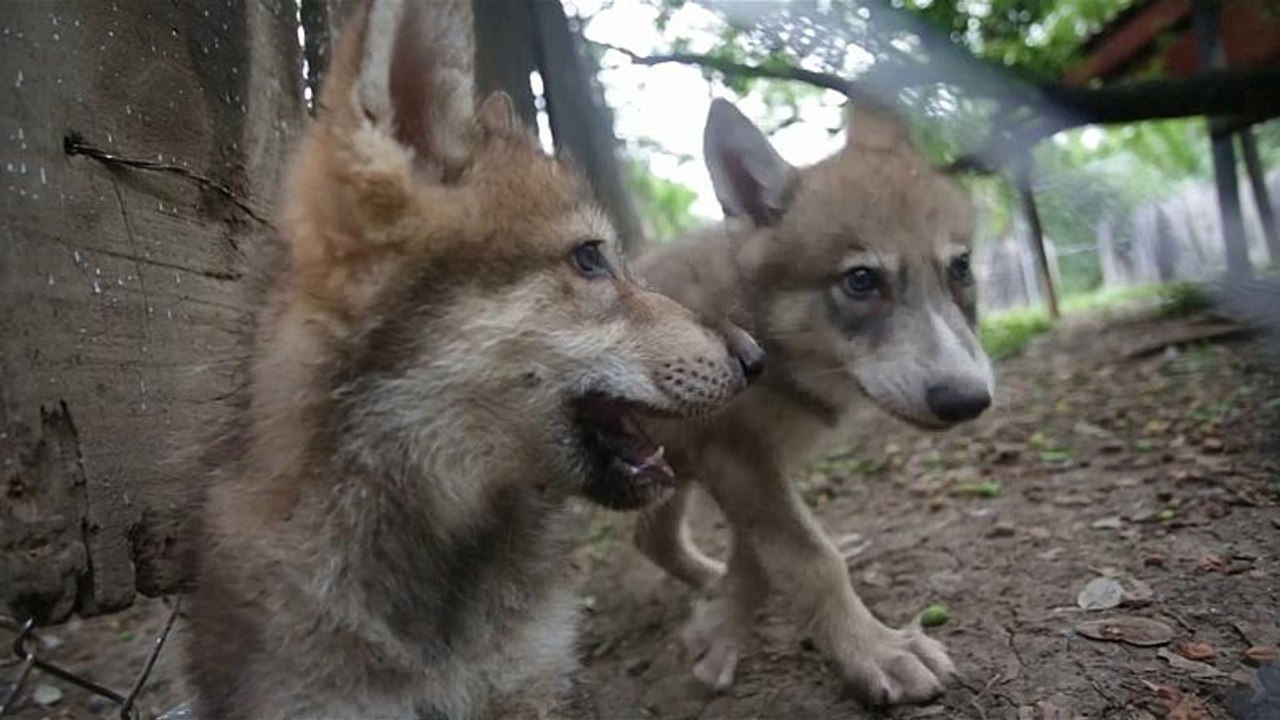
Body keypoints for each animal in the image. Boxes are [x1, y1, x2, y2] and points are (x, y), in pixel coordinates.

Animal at [632, 98, 995, 706]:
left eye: (960, 269)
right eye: (861, 280)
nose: (968, 399)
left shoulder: (752, 465)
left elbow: (762, 558)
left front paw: (718, 625)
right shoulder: (737, 459)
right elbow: (811, 560)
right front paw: (876, 652)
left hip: (665, 473)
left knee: (652, 540)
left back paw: (707, 578)